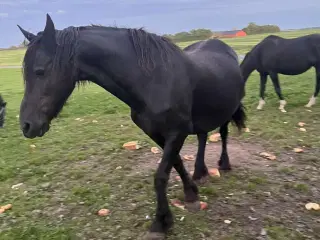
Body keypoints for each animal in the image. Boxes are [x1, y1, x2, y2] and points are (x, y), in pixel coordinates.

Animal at [17, 14, 246, 239]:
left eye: (40, 71)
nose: (26, 125)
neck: (153, 81)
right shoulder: (156, 133)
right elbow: (176, 162)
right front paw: (190, 192)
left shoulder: (177, 132)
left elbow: (161, 175)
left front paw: (161, 222)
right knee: (202, 136)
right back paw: (200, 171)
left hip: (228, 109)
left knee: (223, 133)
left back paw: (224, 164)